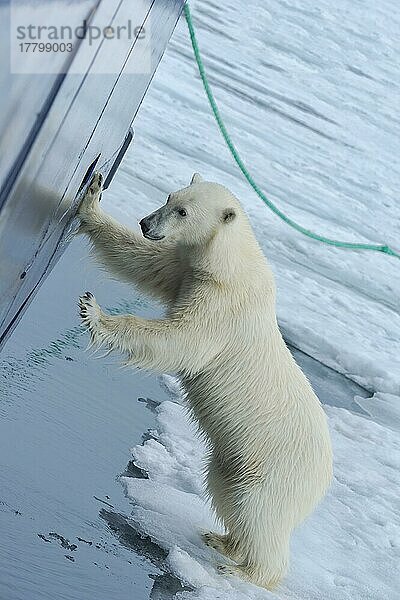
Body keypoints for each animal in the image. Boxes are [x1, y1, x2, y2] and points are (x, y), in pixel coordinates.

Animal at [77, 171, 332, 588]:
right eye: (170, 197)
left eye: (183, 211)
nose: (146, 223)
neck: (228, 266)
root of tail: (325, 477)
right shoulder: (188, 271)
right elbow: (143, 262)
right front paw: (93, 197)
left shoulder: (222, 307)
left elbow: (182, 341)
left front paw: (94, 312)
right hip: (233, 460)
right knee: (225, 492)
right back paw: (222, 540)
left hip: (275, 469)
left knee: (258, 513)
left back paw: (246, 570)